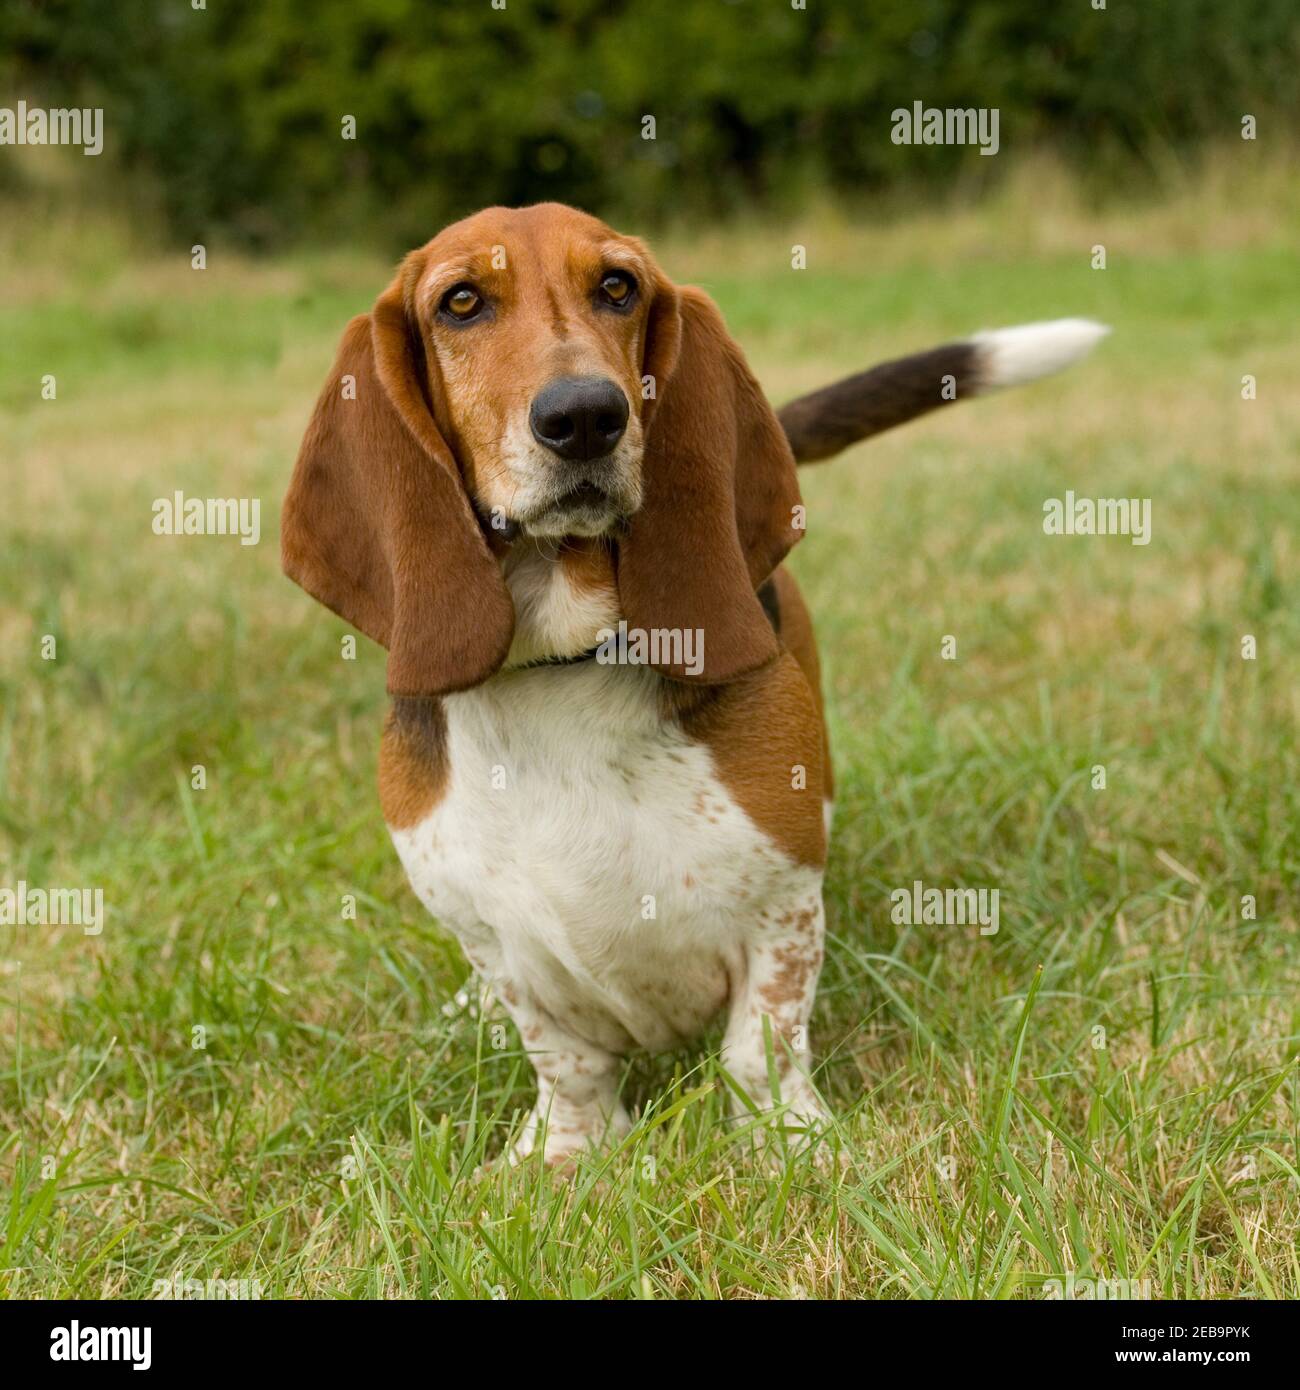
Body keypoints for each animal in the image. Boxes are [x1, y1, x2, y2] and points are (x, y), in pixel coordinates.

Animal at [279, 202, 1101, 1162]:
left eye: (617, 286)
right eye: (461, 302)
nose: (585, 415)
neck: (566, 668)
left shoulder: (782, 903)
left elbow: (760, 1046)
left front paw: (790, 1145)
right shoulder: (496, 944)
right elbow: (566, 1062)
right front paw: (568, 1156)